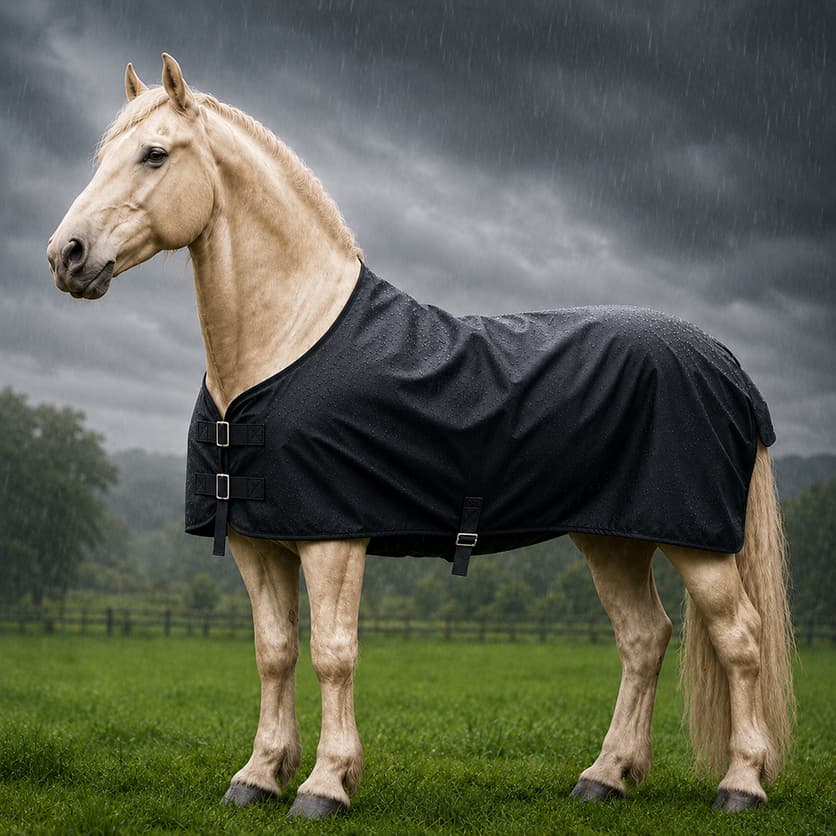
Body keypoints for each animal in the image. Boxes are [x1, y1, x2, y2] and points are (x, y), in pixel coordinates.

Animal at [47, 54, 794, 818]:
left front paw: (325, 784)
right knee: (645, 639)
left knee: (740, 639)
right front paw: (257, 775)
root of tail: (725, 363)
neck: (284, 346)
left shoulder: (334, 541)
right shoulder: (259, 542)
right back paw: (604, 776)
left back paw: (741, 784)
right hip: (612, 539)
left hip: (695, 545)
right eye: (104, 156)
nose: (66, 255)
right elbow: (275, 651)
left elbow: (333, 653)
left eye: (155, 154)